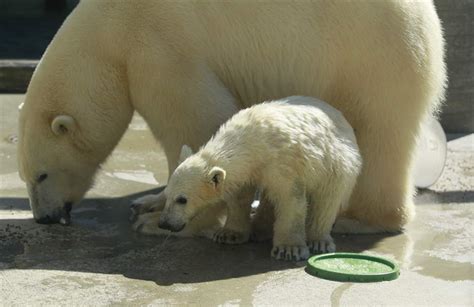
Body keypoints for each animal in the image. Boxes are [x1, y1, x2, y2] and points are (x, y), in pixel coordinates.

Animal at [16, 0, 444, 233]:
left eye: (42, 175)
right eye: (24, 177)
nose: (44, 219)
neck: (107, 30)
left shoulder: (158, 47)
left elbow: (197, 119)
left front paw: (163, 220)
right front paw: (149, 203)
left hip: (367, 54)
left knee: (380, 132)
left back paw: (361, 219)